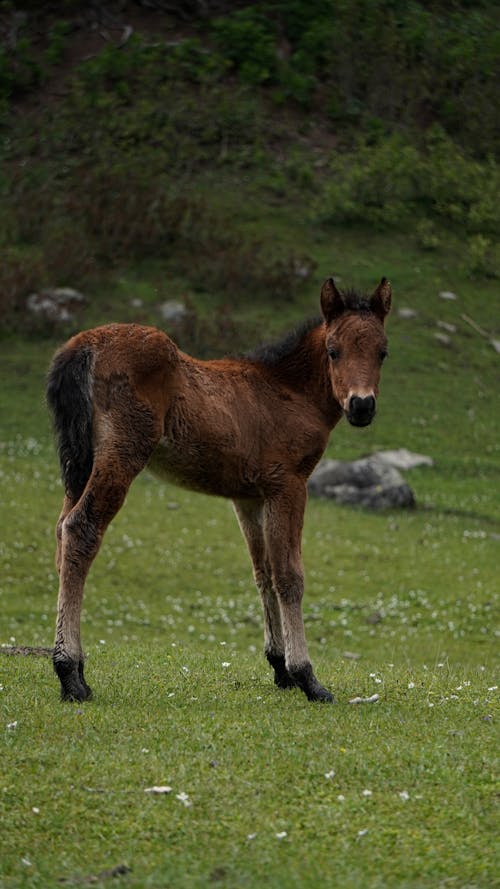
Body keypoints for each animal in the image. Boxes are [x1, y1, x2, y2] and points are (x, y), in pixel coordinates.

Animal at [47, 274, 390, 704]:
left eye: (383, 352)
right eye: (333, 351)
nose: (362, 406)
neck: (290, 392)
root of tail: (82, 346)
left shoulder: (249, 496)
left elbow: (264, 572)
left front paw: (280, 667)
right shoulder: (289, 484)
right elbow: (289, 576)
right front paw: (307, 677)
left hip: (79, 463)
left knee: (61, 531)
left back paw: (75, 669)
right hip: (122, 453)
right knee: (81, 529)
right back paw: (69, 674)